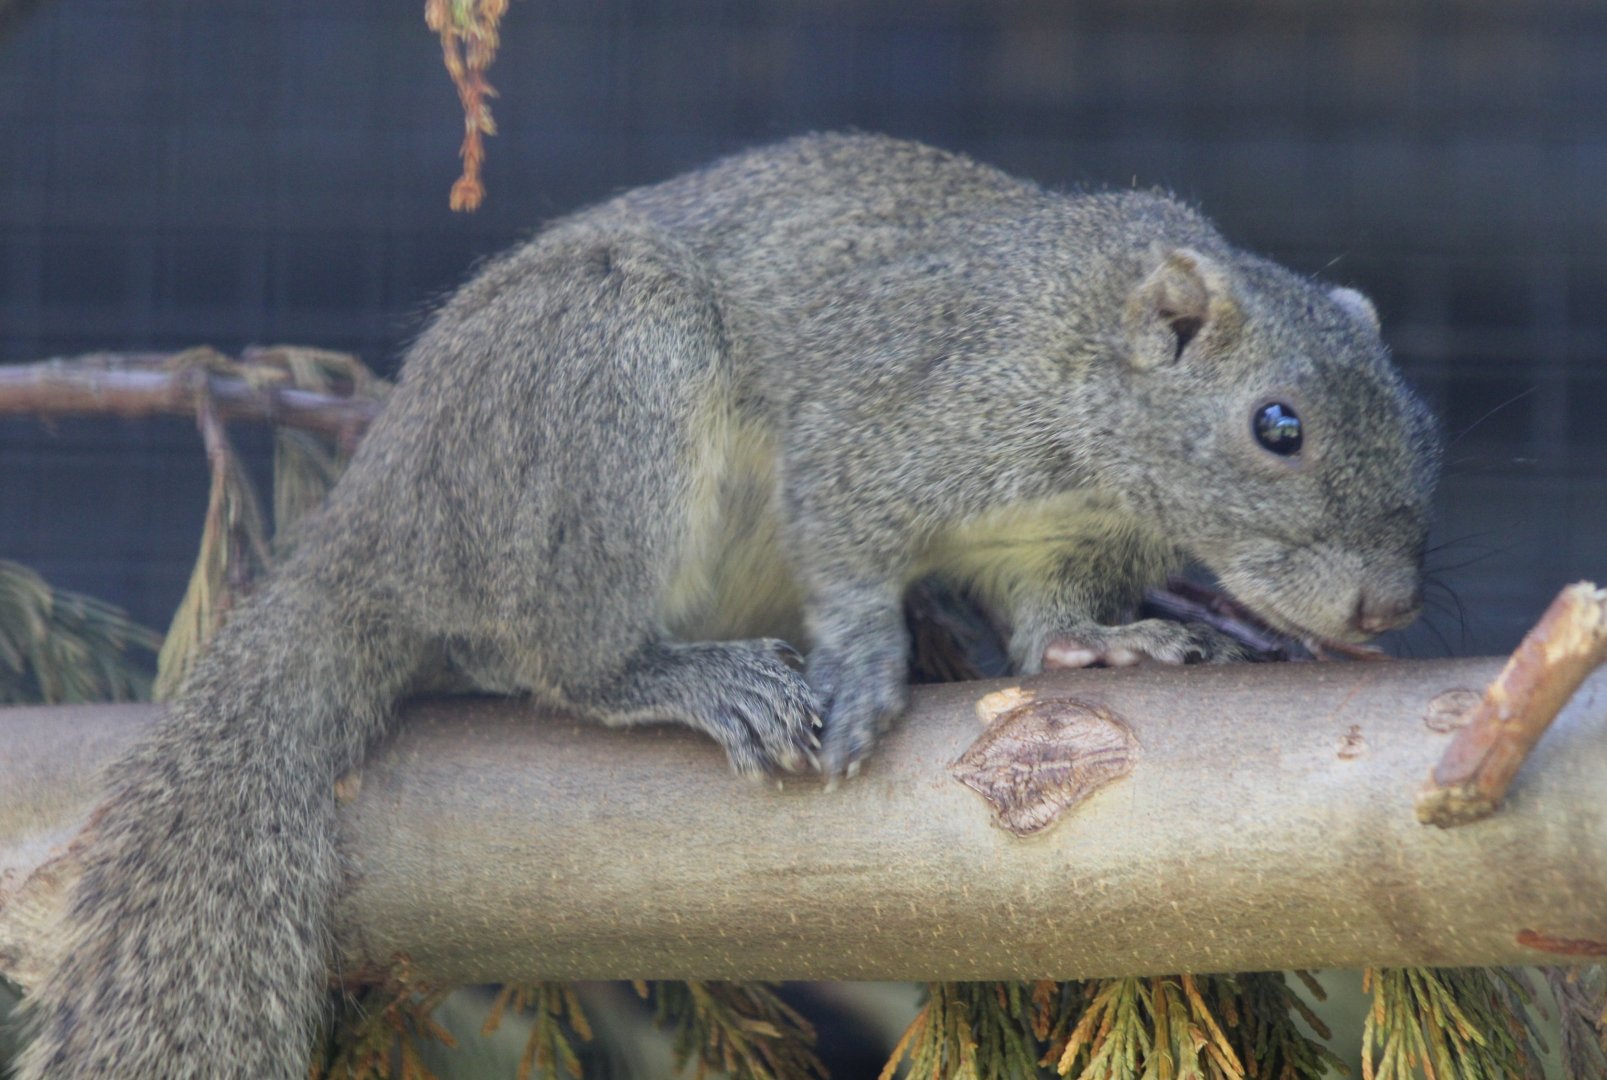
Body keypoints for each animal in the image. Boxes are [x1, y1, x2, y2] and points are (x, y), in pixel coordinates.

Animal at [18, 132, 1438, 1077]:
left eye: (1421, 428)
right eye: (1276, 426)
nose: (1386, 605)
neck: (1081, 361)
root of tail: (380, 524)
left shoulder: (1052, 534)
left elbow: (1044, 625)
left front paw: (1109, 640)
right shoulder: (884, 424)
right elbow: (848, 546)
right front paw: (864, 669)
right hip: (603, 381)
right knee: (556, 659)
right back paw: (684, 679)